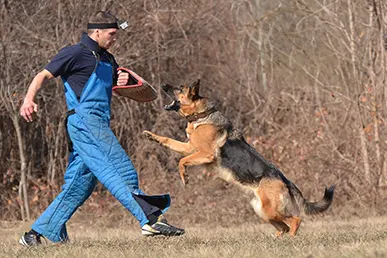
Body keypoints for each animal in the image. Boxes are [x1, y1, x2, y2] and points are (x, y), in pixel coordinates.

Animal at [143, 79, 336, 237]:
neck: (202, 115)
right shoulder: (190, 147)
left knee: (295, 221)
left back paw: (291, 240)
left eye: (179, 88)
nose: (162, 84)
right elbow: (168, 141)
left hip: (269, 210)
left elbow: (181, 161)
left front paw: (185, 177)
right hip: (262, 211)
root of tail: (285, 180)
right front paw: (151, 136)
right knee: (284, 227)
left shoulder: (205, 154)